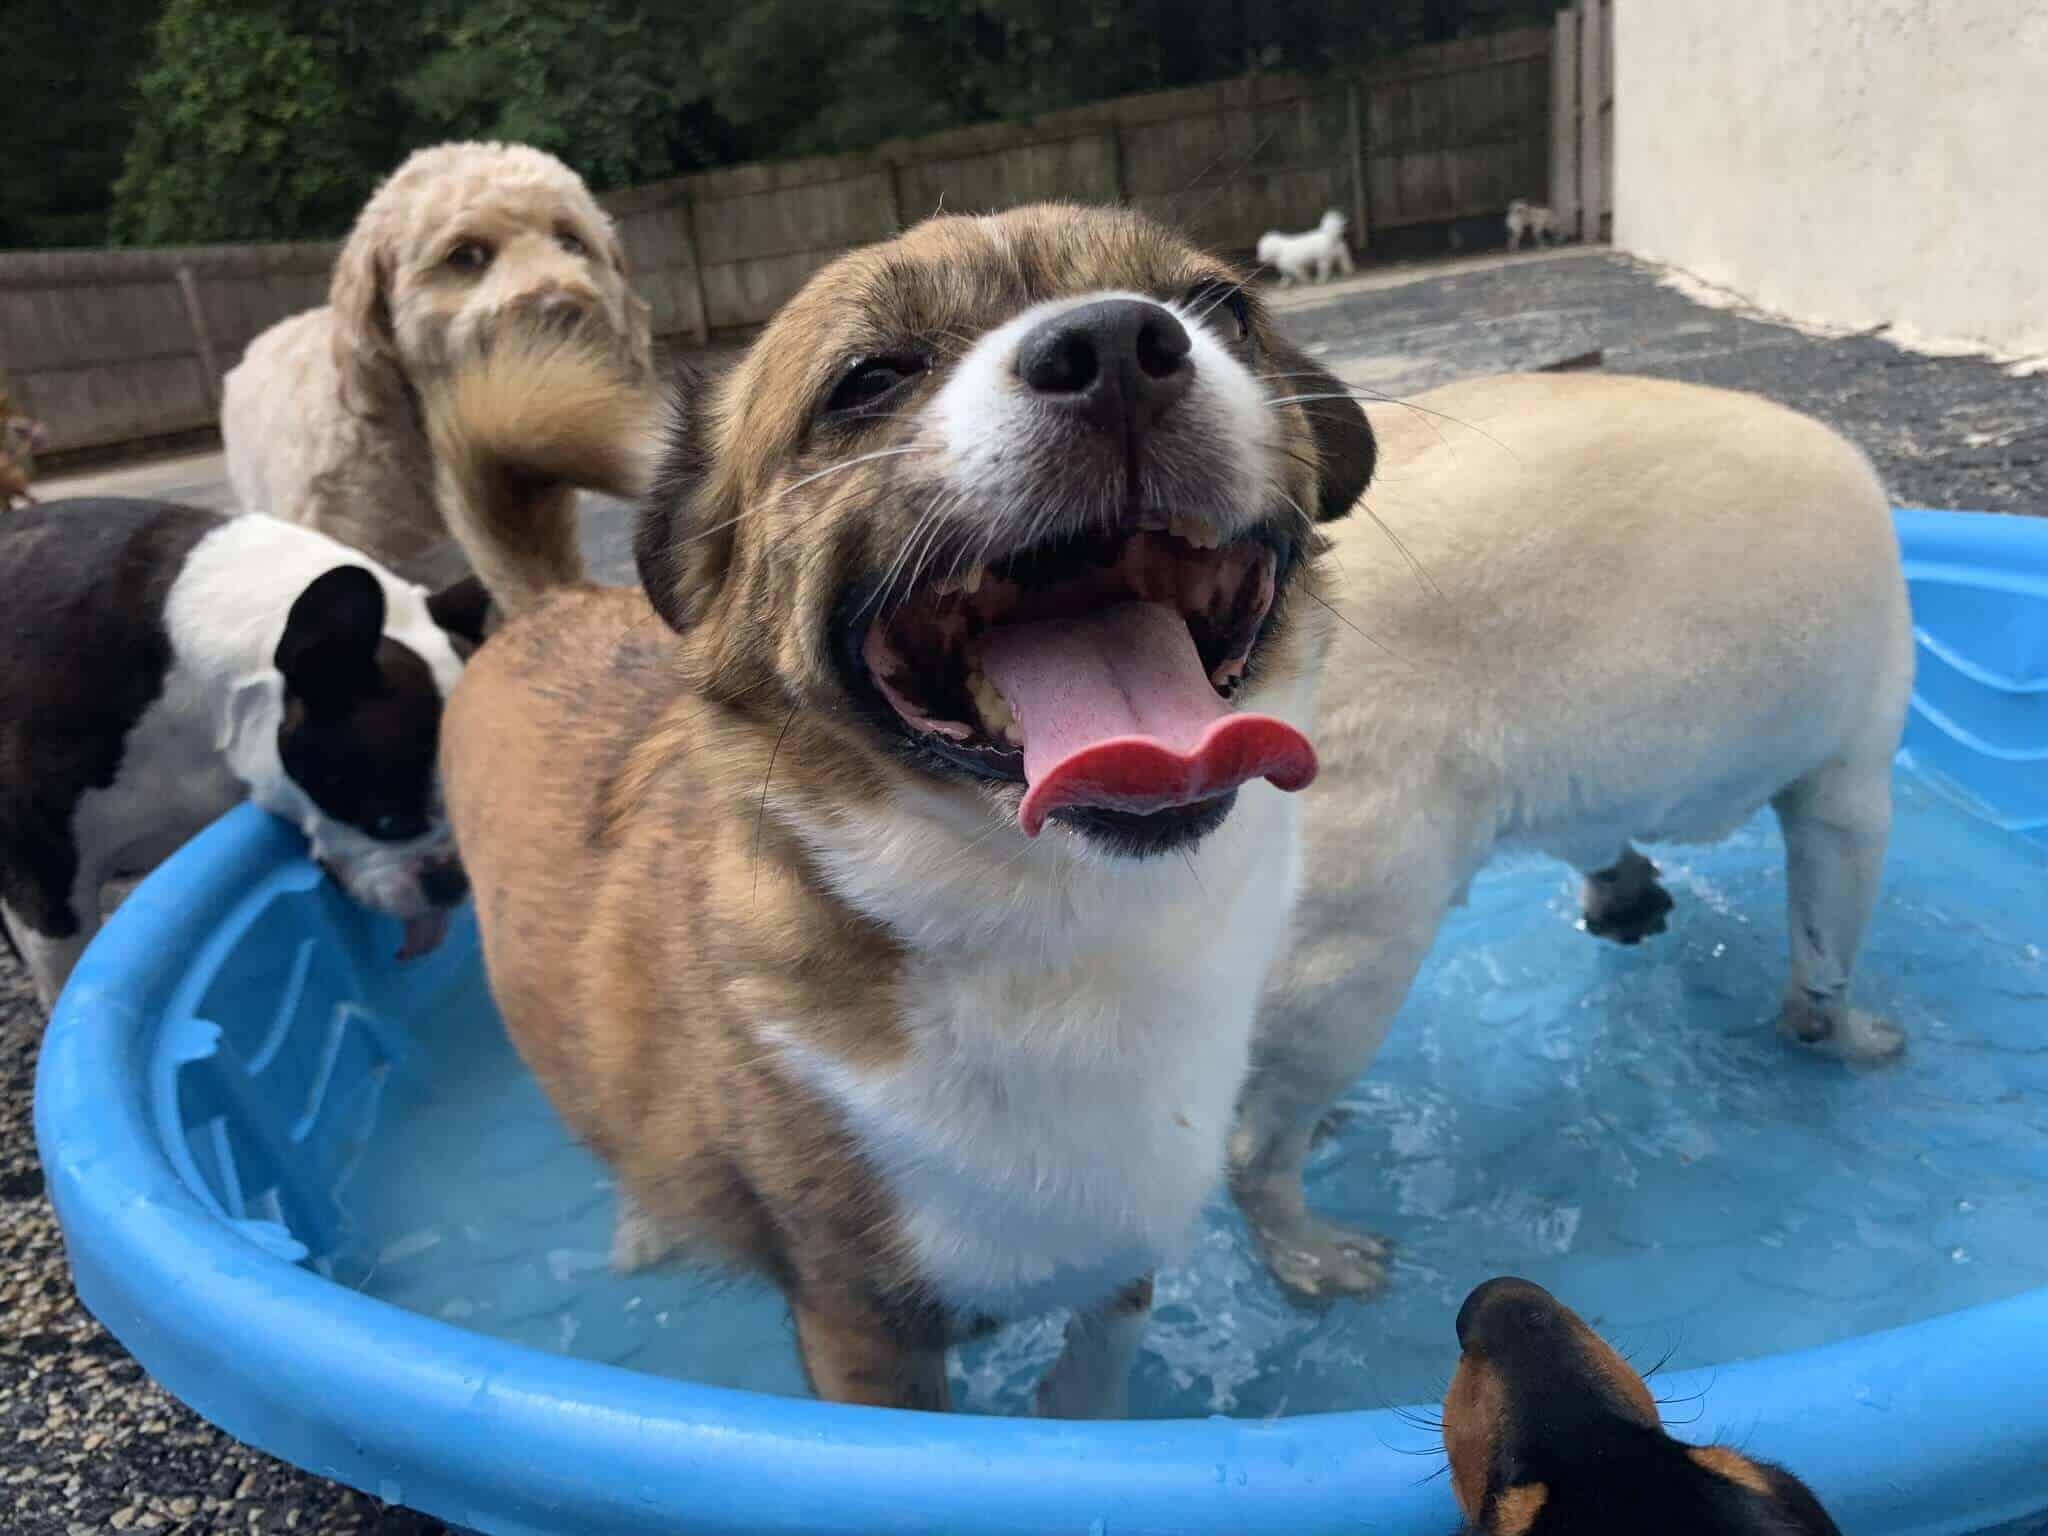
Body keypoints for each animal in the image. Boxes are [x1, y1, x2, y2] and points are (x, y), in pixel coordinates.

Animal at [428, 207, 1376, 1417]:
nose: (1117, 345)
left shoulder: (1119, 1264)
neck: (1062, 918)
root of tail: (544, 601)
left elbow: (1087, 1390)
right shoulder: (862, 1332)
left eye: (1223, 311)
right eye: (866, 378)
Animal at [1220, 372, 1908, 1302]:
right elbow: (1825, 949)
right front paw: (1845, 1035)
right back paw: (1311, 1249)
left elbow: (1596, 837)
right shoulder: (1848, 782)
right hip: (1353, 928)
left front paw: (1626, 893)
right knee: (1260, 1137)